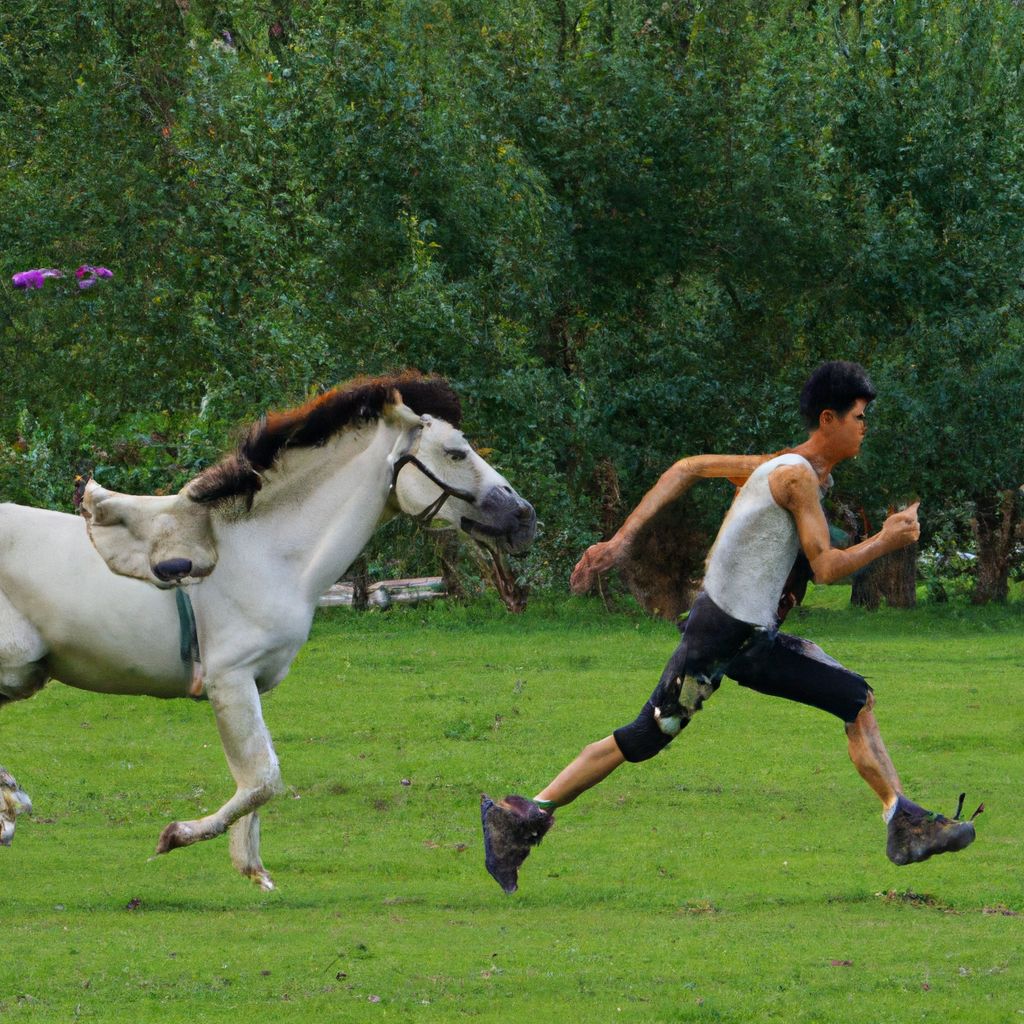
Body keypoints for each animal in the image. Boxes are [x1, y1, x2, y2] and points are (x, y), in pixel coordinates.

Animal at [2, 374, 536, 888]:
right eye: (456, 452)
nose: (525, 518)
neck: (264, 552)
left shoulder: (252, 685)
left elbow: (254, 784)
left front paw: (251, 867)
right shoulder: (230, 680)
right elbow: (264, 778)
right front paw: (177, 835)